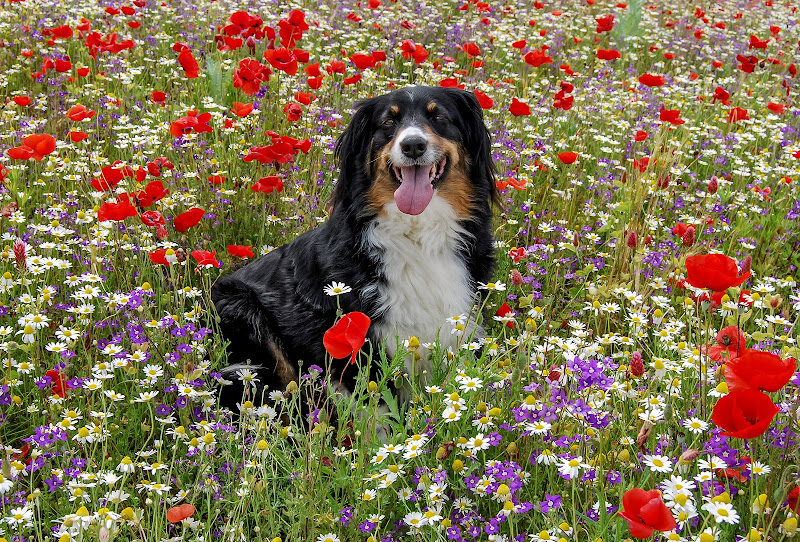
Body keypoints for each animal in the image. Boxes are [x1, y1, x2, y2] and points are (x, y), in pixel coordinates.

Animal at [212, 85, 500, 418]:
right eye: (388, 122)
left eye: (439, 117)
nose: (413, 145)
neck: (418, 232)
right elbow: (377, 413)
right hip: (243, 308)